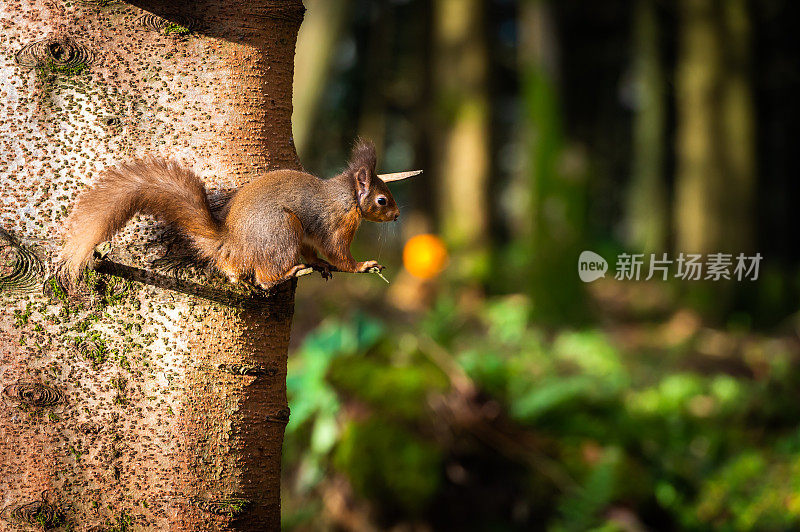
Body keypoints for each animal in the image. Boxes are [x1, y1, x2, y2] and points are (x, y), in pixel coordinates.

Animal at [56, 137, 418, 286]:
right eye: (382, 200)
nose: (398, 216)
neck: (348, 197)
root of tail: (232, 244)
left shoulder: (313, 236)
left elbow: (317, 252)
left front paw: (321, 265)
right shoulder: (335, 224)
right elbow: (338, 253)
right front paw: (361, 266)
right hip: (282, 229)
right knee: (263, 278)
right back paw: (289, 273)